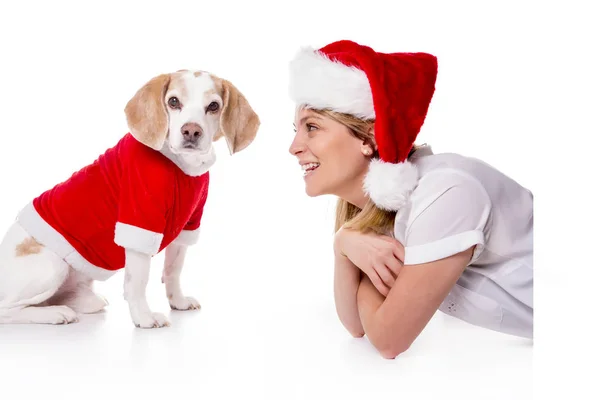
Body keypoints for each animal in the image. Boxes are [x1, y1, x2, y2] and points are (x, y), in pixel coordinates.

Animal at [0, 69, 260, 328]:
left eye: (214, 106)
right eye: (173, 102)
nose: (191, 131)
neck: (181, 166)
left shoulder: (186, 225)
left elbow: (173, 271)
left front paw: (178, 301)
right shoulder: (139, 222)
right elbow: (138, 282)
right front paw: (144, 318)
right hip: (54, 265)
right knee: (7, 310)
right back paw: (54, 314)